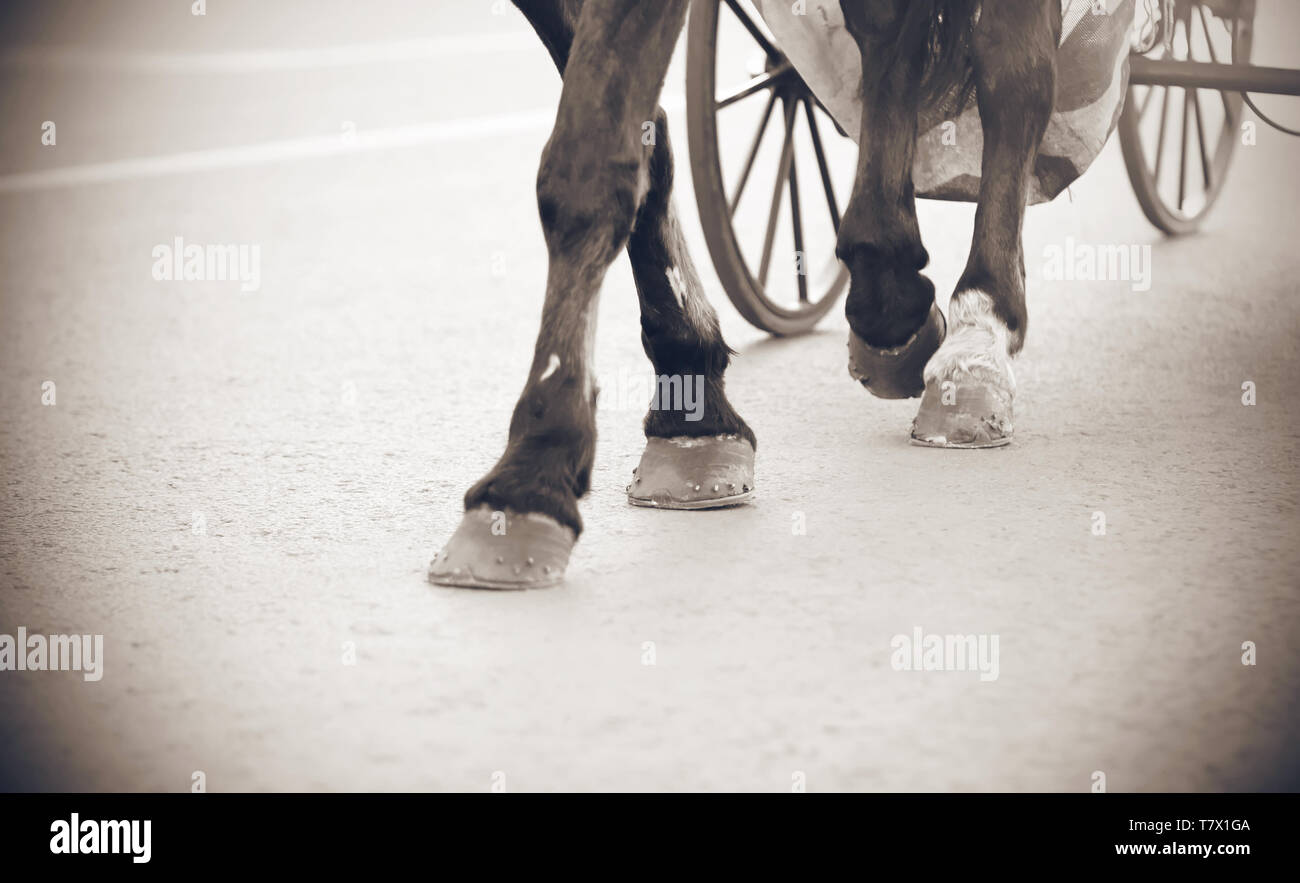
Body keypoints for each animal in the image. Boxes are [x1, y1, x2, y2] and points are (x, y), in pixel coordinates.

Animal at [428, 0, 1060, 589]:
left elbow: (587, 171)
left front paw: (530, 475)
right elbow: (636, 136)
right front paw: (691, 397)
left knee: (1013, 69)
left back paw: (977, 337)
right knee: (890, 34)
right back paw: (890, 300)